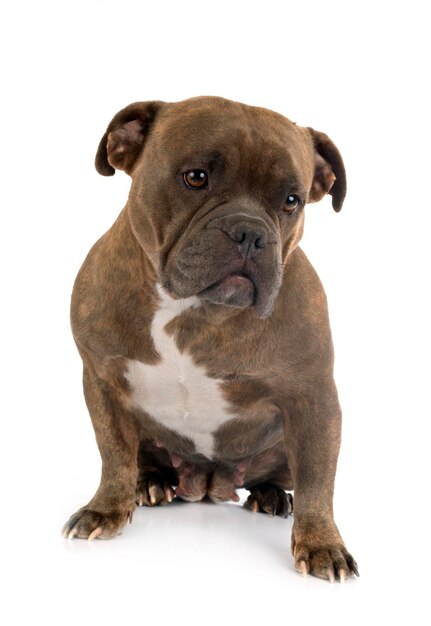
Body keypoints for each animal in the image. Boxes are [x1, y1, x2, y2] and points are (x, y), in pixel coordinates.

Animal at [62, 96, 360, 580]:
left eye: (292, 201)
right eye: (196, 177)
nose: (251, 232)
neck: (196, 310)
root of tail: (206, 483)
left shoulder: (314, 400)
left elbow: (319, 480)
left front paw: (322, 544)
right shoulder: (102, 382)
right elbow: (114, 455)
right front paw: (106, 509)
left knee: (285, 477)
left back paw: (270, 497)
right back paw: (152, 484)